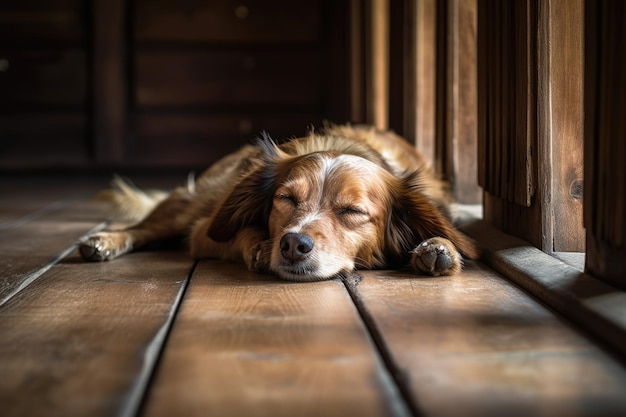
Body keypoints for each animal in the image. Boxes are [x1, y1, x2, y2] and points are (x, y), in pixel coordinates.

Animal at [79, 123, 478, 280]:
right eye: (286, 198)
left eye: (352, 211)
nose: (292, 244)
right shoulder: (203, 232)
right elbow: (241, 233)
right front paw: (259, 244)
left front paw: (438, 247)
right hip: (193, 205)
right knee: (146, 226)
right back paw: (104, 241)